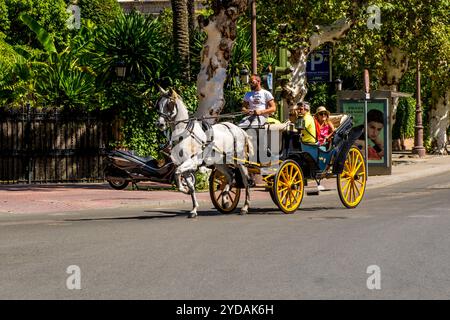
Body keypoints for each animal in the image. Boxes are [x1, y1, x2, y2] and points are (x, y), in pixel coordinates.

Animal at [156, 87, 253, 218]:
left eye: (169, 105)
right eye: (159, 104)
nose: (160, 124)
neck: (185, 133)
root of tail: (239, 130)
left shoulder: (192, 162)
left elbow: (176, 173)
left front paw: (184, 189)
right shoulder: (184, 166)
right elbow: (191, 186)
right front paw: (193, 209)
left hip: (240, 161)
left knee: (246, 181)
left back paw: (245, 207)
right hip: (220, 163)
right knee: (230, 175)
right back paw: (225, 197)